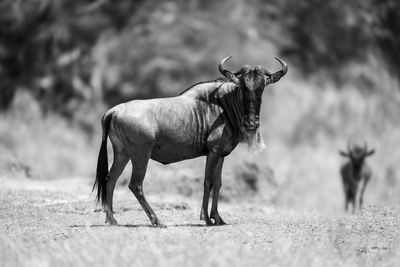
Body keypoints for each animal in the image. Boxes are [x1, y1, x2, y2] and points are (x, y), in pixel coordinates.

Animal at [93, 55, 288, 227]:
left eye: (261, 87)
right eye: (242, 87)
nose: (251, 123)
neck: (223, 107)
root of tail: (115, 110)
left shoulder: (221, 154)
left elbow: (218, 184)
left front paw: (218, 218)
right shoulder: (213, 152)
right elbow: (208, 182)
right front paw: (206, 219)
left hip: (122, 154)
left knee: (111, 178)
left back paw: (112, 219)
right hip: (140, 155)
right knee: (135, 185)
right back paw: (157, 221)